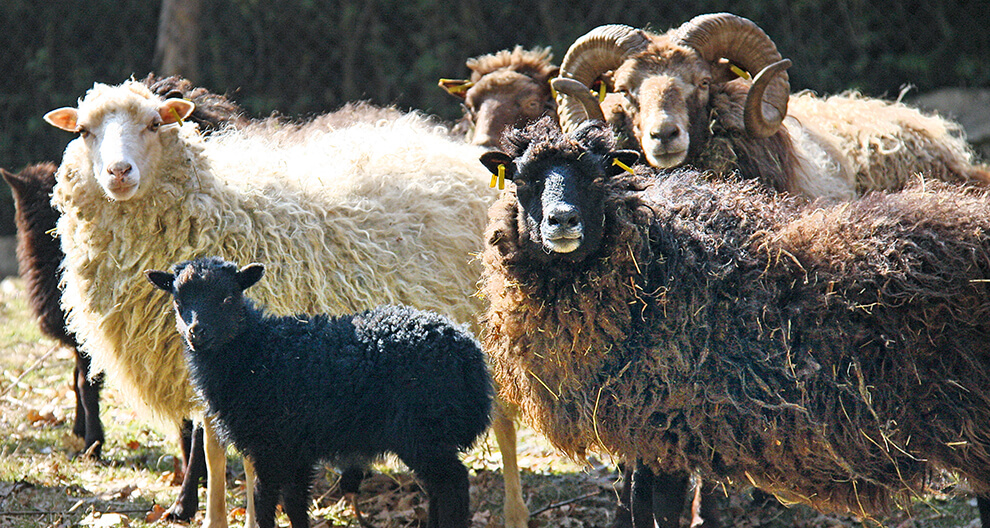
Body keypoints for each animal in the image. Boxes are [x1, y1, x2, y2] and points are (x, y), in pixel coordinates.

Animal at [145, 256, 493, 528]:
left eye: (228, 298)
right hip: (430, 436)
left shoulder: (270, 445)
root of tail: (471, 356)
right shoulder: (296, 448)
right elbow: (295, 504)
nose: (197, 332)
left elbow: (264, 502)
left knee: (453, 485)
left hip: (424, 431)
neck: (257, 351)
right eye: (178, 301)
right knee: (438, 489)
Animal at [478, 118, 990, 527]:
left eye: (597, 174)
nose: (561, 221)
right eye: (521, 178)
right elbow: (634, 507)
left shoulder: (669, 428)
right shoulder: (642, 435)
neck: (657, 261)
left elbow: (660, 512)